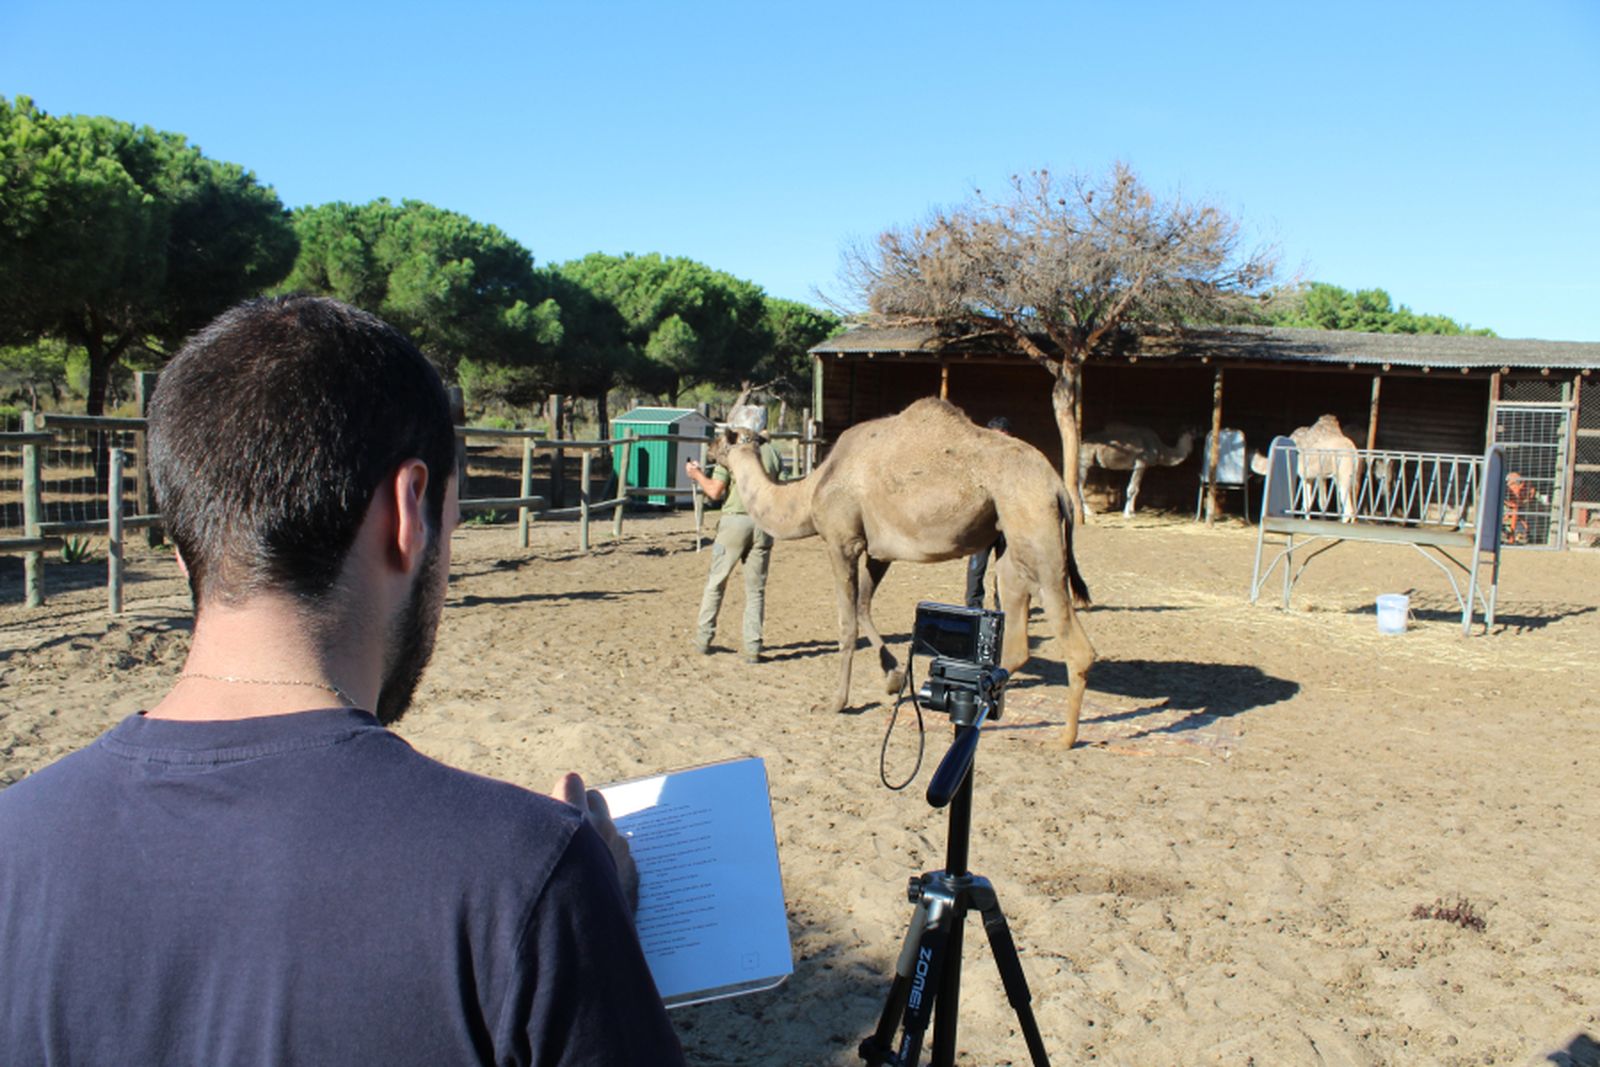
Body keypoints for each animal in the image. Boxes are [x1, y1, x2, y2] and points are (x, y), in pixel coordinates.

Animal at [706, 397, 1097, 747]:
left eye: (725, 436)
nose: (708, 449)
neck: (811, 490)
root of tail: (1058, 486)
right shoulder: (879, 552)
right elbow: (863, 607)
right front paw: (893, 678)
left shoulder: (842, 541)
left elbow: (847, 623)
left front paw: (835, 702)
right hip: (1010, 545)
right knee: (1017, 635)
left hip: (1035, 530)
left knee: (1076, 643)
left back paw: (1061, 739)